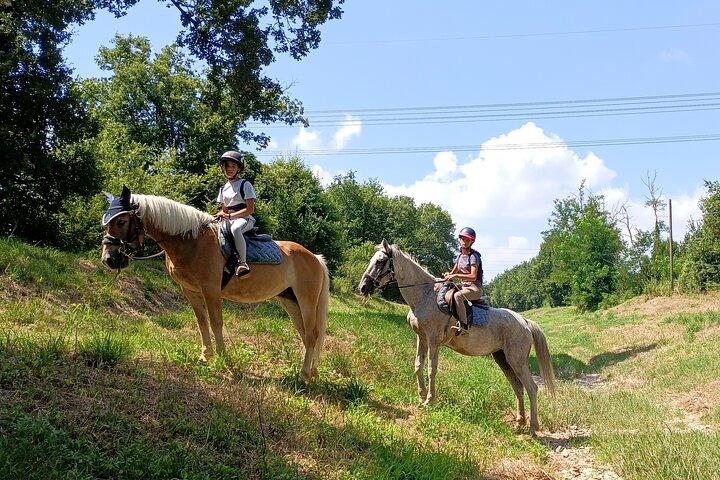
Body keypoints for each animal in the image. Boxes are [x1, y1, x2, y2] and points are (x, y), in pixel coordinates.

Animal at [100, 186, 329, 380]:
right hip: (290, 301)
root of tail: (315, 258)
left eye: (121, 221)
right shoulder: (189, 290)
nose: (108, 259)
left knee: (312, 335)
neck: (190, 241)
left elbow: (216, 321)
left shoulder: (210, 289)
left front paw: (223, 359)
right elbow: (201, 321)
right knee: (305, 334)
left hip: (307, 301)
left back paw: (304, 374)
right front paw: (206, 356)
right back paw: (311, 372)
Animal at [358, 240, 556, 434]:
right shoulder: (421, 338)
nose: (362, 287)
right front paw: (421, 395)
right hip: (503, 359)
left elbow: (431, 369)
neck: (425, 297)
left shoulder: (433, 340)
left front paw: (430, 400)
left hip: (517, 360)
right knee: (518, 387)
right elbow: (418, 365)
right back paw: (520, 422)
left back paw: (533, 427)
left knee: (531, 388)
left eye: (380, 261)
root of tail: (525, 322)